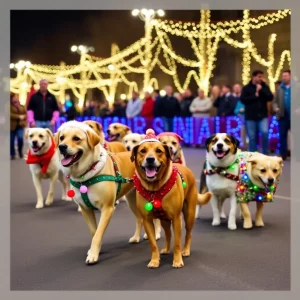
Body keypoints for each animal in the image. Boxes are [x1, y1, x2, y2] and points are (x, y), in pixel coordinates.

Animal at [54, 120, 145, 264]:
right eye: (62, 138)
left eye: (76, 138)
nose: (61, 147)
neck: (85, 176)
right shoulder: (85, 209)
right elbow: (94, 232)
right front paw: (95, 250)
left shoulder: (107, 208)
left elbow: (98, 233)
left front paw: (92, 255)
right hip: (132, 200)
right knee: (140, 218)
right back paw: (136, 237)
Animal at [130, 130, 212, 268]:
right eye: (143, 151)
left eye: (158, 151)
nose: (150, 159)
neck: (155, 188)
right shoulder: (147, 221)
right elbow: (153, 244)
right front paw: (154, 260)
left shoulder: (176, 218)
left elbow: (177, 242)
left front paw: (178, 260)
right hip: (164, 220)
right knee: (168, 235)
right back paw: (166, 249)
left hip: (189, 215)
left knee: (188, 234)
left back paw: (186, 250)